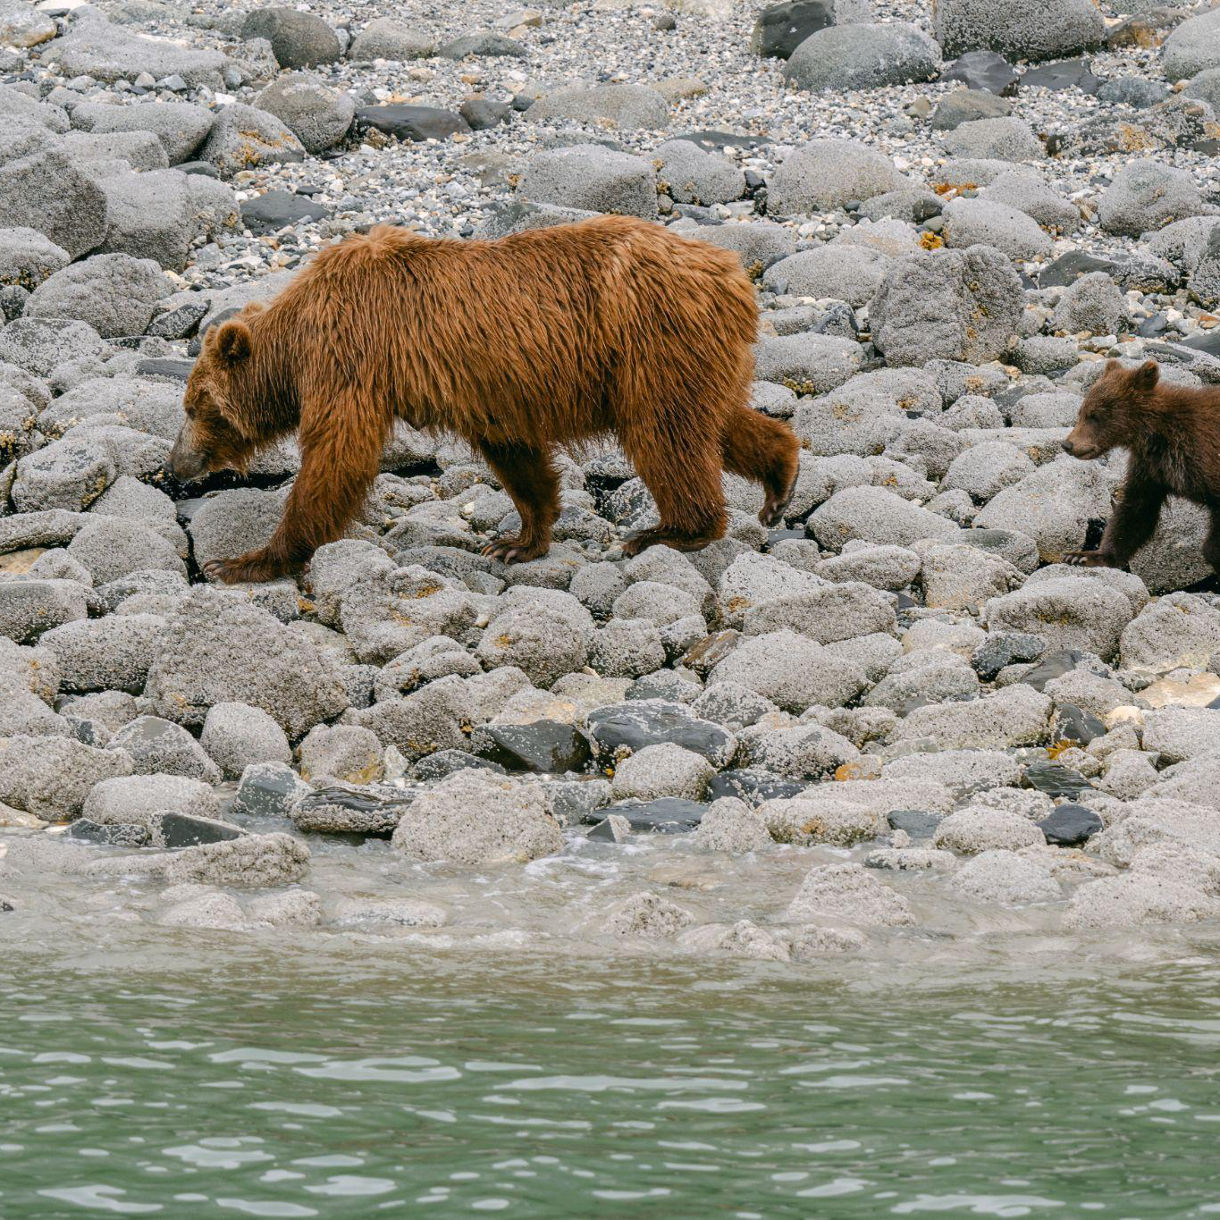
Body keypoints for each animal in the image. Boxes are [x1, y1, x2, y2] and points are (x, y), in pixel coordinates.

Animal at [168, 216, 800, 584]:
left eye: (195, 407)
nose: (175, 464)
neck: (296, 341)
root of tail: (733, 272)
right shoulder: (491, 388)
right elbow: (517, 457)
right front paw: (517, 542)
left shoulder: (352, 354)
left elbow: (336, 454)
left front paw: (244, 561)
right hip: (686, 353)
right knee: (712, 419)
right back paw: (779, 478)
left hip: (650, 339)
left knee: (664, 433)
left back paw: (669, 530)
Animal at [1061, 358, 1220, 576]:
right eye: (1081, 412)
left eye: (1095, 415)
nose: (1068, 444)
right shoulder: (1152, 468)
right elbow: (1135, 510)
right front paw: (1083, 556)